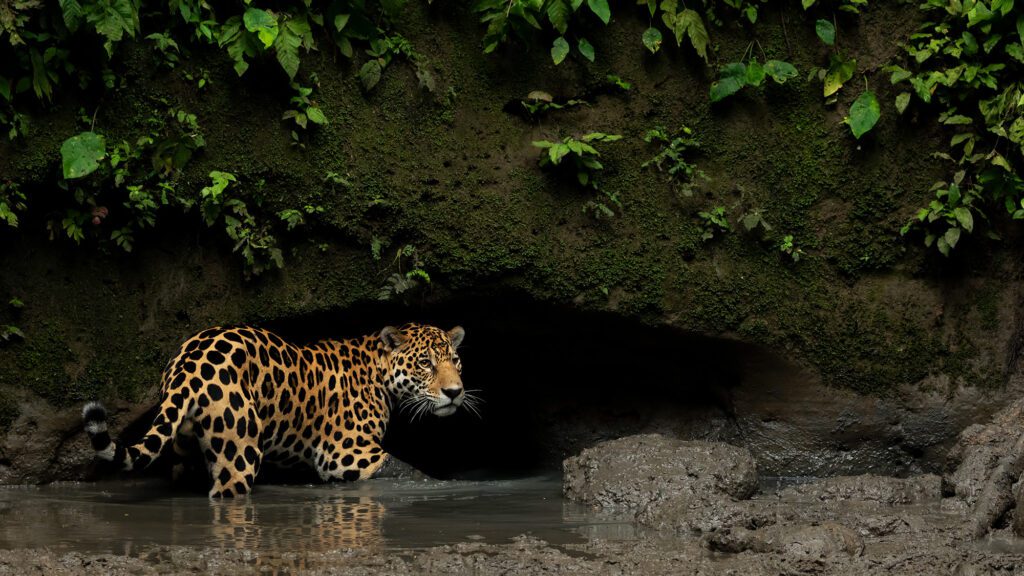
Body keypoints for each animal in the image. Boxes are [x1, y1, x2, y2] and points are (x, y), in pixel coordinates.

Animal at [82, 323, 468, 497]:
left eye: (456, 360)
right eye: (425, 363)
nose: (455, 392)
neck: (377, 373)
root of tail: (189, 362)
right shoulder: (347, 454)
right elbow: (406, 470)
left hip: (184, 446)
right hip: (239, 453)